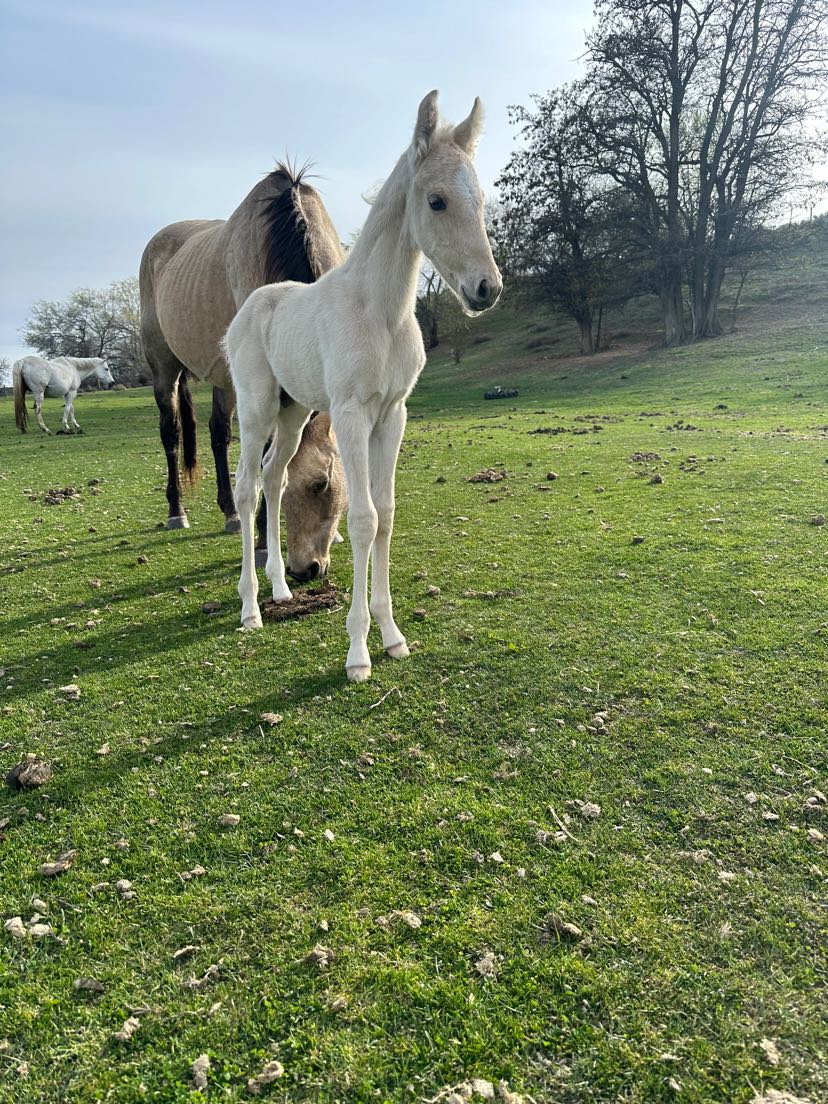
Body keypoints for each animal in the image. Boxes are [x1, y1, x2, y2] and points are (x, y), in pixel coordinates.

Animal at [139, 163, 348, 580]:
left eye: (321, 484)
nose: (304, 569)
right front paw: (265, 543)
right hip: (164, 368)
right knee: (171, 433)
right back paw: (176, 512)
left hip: (228, 379)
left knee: (219, 433)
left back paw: (231, 514)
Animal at [223, 91, 502, 680]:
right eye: (437, 201)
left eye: (482, 199)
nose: (485, 289)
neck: (382, 313)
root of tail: (251, 307)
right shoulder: (352, 414)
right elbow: (362, 518)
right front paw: (357, 652)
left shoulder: (392, 415)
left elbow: (387, 515)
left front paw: (392, 636)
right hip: (256, 409)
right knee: (247, 488)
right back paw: (251, 608)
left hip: (292, 414)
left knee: (274, 479)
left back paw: (280, 589)